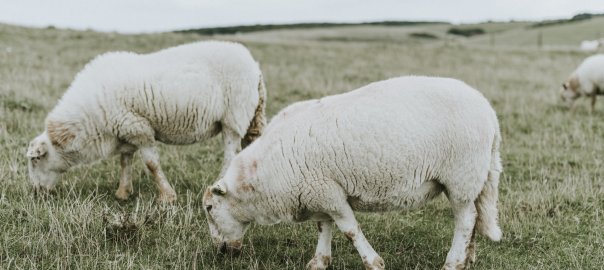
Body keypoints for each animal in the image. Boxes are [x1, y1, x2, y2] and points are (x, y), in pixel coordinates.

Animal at [26, 40, 266, 202]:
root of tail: (255, 66)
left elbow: (151, 164)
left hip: (234, 117)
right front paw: (123, 193)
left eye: (35, 160)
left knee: (231, 154)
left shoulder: (139, 128)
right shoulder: (125, 131)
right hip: (252, 116)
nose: (35, 192)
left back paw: (220, 183)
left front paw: (167, 197)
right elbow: (125, 161)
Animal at [203, 76, 500, 270]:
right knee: (474, 217)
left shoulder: (329, 193)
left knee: (465, 220)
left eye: (209, 208)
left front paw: (374, 262)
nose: (219, 251)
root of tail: (488, 110)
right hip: (471, 179)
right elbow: (324, 227)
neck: (263, 175)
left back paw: (453, 262)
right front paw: (319, 261)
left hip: (461, 176)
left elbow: (349, 230)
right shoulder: (318, 191)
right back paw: (467, 258)